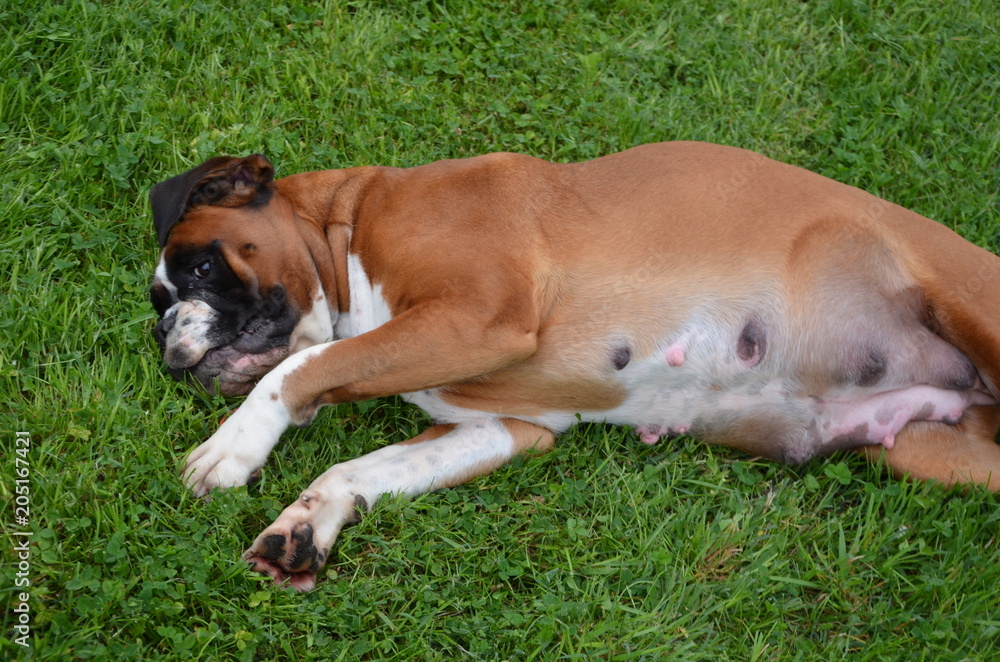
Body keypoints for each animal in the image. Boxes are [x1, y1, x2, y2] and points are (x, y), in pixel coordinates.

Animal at [148, 143, 1000, 592]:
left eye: (197, 269)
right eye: (161, 296)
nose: (163, 340)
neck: (347, 229)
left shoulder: (480, 315)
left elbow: (302, 366)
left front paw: (234, 446)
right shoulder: (505, 427)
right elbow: (363, 466)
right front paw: (307, 524)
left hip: (970, 305)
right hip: (940, 457)